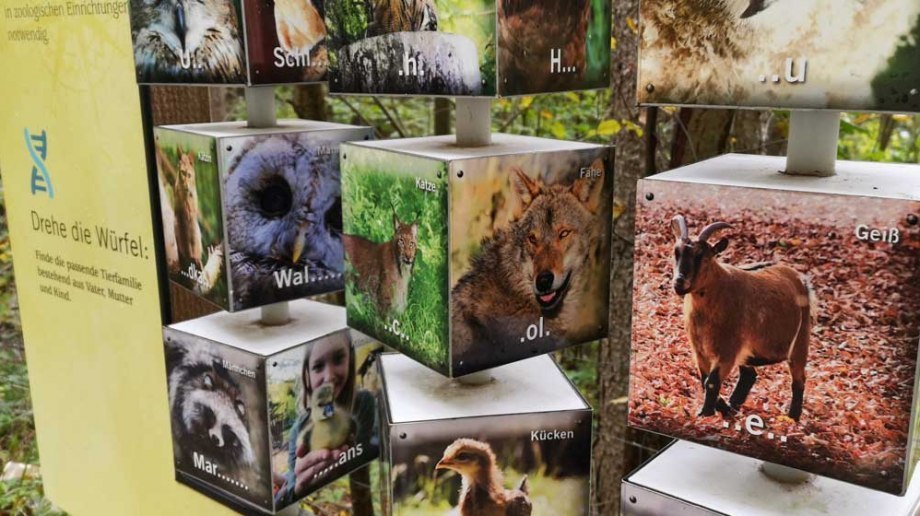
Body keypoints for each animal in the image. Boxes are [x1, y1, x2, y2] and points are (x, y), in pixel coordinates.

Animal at [668, 214, 812, 420]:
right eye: (676, 252)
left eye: (700, 255)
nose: (679, 282)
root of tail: (800, 279)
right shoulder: (700, 350)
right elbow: (704, 379)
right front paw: (719, 409)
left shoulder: (727, 351)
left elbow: (711, 382)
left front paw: (705, 413)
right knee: (749, 374)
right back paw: (733, 406)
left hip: (800, 342)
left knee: (798, 380)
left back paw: (792, 417)